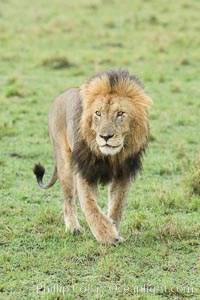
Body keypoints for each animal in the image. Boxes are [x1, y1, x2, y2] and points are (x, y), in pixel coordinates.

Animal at [33, 71, 152, 245]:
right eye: (98, 113)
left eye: (120, 114)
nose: (105, 137)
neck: (109, 157)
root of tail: (60, 97)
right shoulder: (84, 171)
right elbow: (90, 207)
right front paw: (107, 236)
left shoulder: (123, 174)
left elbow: (117, 206)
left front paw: (113, 228)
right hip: (65, 163)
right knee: (68, 200)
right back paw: (74, 228)